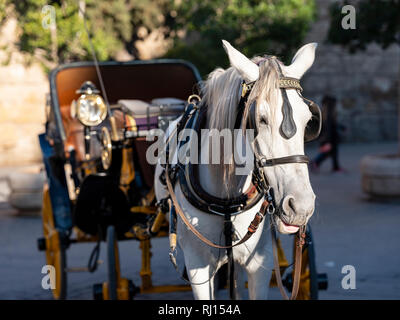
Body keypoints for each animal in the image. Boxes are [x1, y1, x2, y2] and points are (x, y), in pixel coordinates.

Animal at [155, 40, 318, 300]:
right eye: (260, 119)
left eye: (309, 120)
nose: (300, 206)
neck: (226, 199)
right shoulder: (197, 267)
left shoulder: (259, 263)